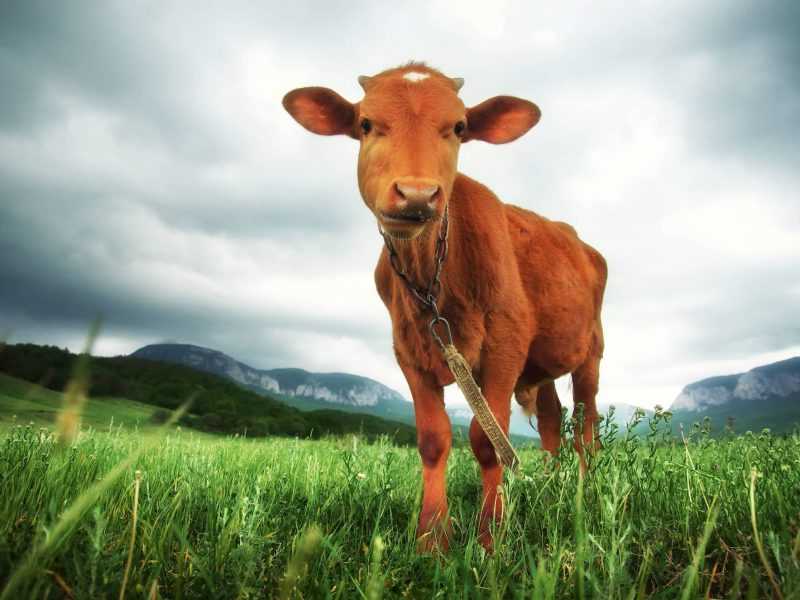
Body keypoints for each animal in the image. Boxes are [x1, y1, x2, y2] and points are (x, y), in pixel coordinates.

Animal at [283, 62, 607, 552]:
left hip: (591, 351)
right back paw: (551, 488)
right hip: (542, 364)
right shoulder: (408, 350)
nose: (417, 194)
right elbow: (433, 440)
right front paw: (432, 539)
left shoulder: (506, 344)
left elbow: (488, 439)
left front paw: (491, 538)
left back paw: (583, 492)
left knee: (587, 425)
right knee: (552, 420)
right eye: (365, 124)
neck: (434, 281)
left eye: (458, 128)